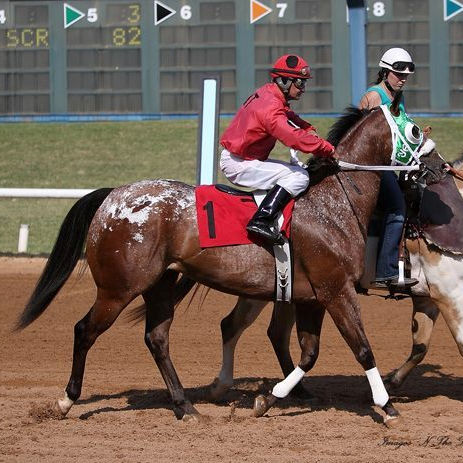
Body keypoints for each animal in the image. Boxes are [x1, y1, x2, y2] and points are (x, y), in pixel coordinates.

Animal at [18, 94, 444, 424]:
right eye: (415, 131)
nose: (439, 168)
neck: (335, 202)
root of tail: (113, 196)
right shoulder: (336, 291)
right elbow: (362, 348)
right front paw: (387, 407)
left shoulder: (312, 297)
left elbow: (308, 354)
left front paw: (267, 399)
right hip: (118, 287)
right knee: (84, 330)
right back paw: (66, 400)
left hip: (160, 284)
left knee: (157, 338)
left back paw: (185, 406)